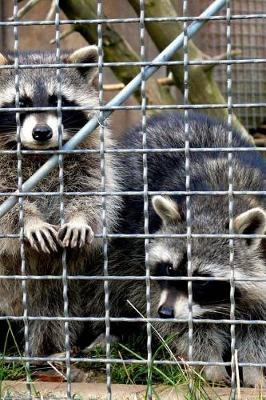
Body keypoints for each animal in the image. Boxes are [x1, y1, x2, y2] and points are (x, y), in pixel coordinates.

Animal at [0, 46, 120, 356]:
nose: (42, 132)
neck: (38, 153)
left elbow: (92, 193)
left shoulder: (89, 155)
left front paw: (79, 218)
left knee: (54, 307)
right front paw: (28, 221)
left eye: (58, 101)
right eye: (21, 102)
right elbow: (6, 203)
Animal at [87, 112, 266, 388]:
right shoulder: (144, 262)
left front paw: (254, 369)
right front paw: (210, 364)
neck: (219, 201)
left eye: (202, 281)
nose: (166, 312)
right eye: (169, 269)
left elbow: (259, 327)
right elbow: (185, 326)